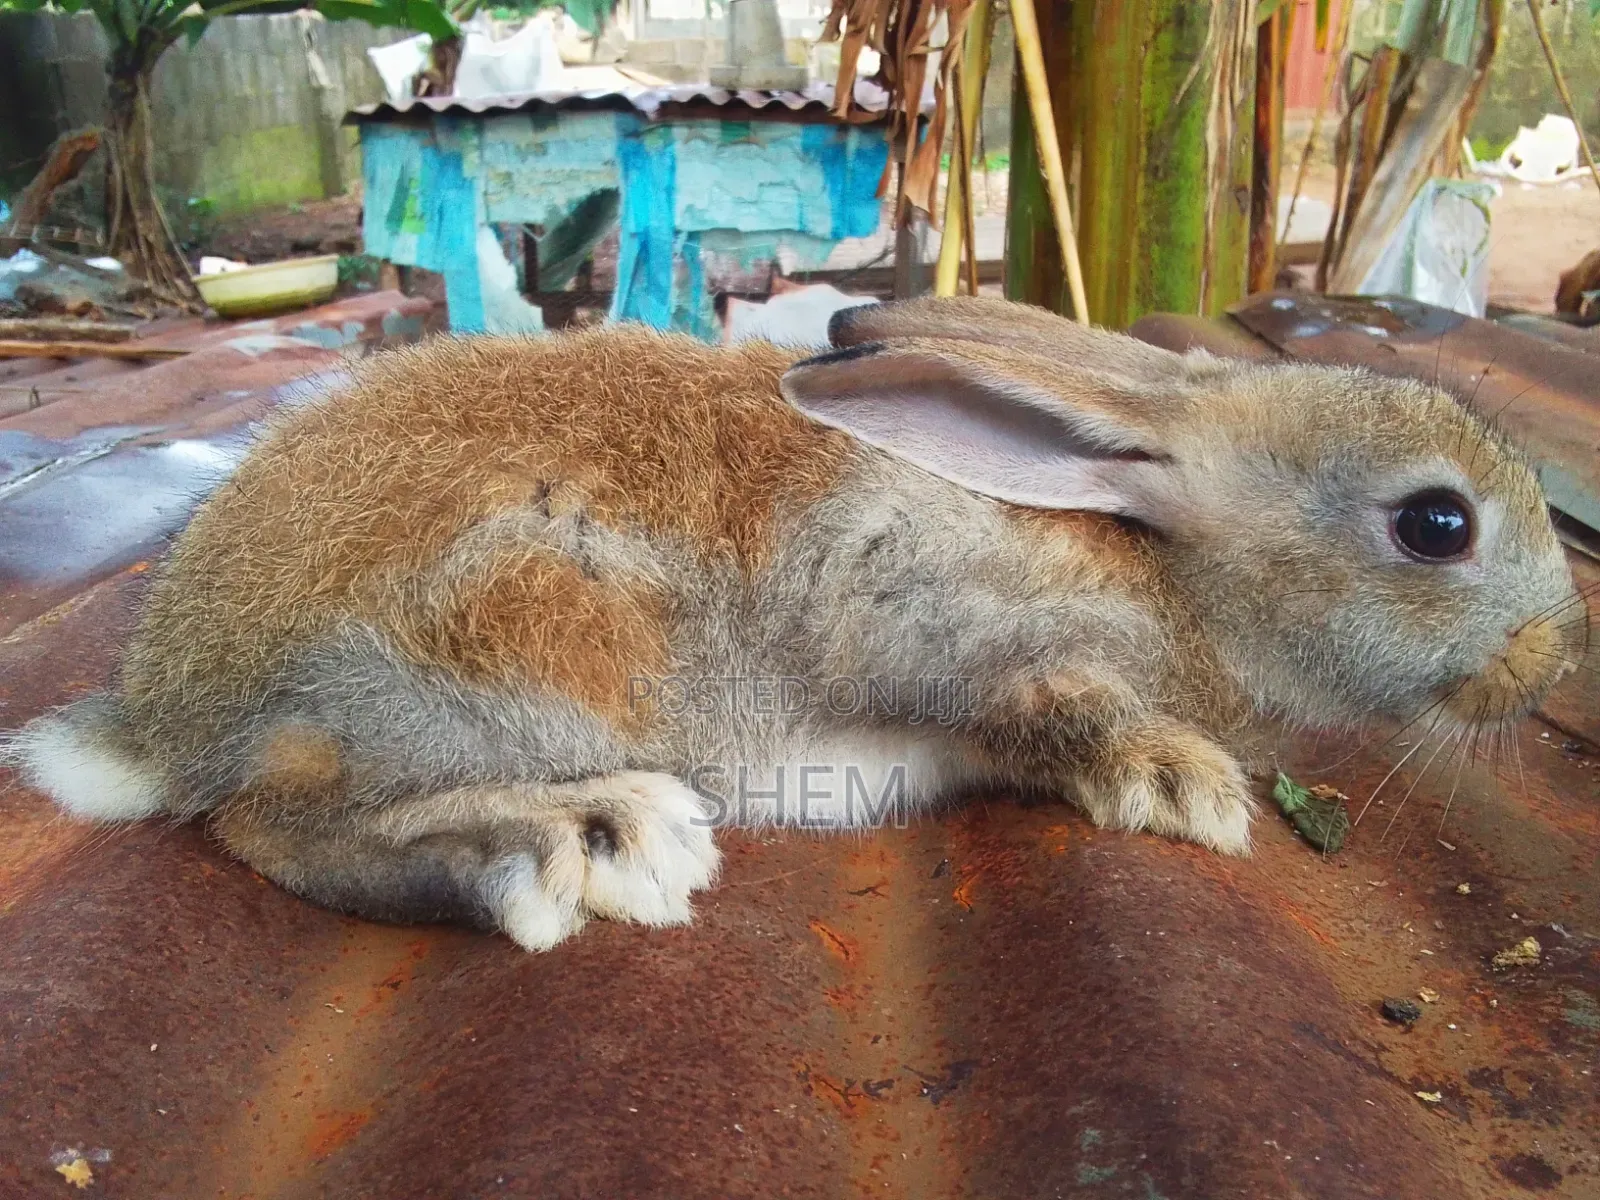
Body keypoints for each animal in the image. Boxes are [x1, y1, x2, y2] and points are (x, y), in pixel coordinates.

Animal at [3, 296, 1585, 950]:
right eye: (1436, 525)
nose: (1549, 658)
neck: (1157, 551)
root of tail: (162, 711)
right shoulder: (931, 620)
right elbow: (1053, 709)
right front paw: (1183, 784)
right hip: (524, 647)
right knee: (275, 821)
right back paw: (584, 844)